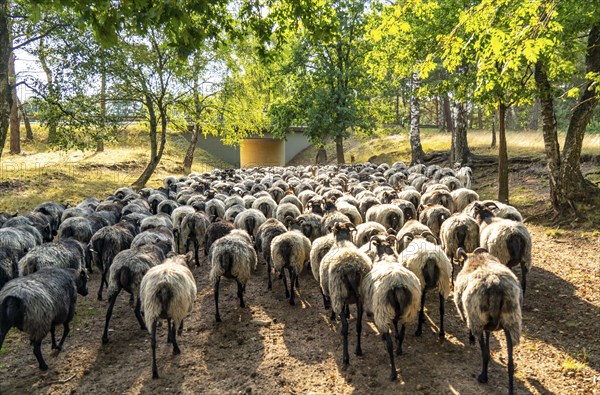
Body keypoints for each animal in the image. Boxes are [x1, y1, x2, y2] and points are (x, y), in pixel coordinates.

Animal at [360, 235, 422, 380]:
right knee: (403, 330)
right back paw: (399, 350)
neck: (386, 257)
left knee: (389, 345)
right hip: (409, 310)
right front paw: (397, 334)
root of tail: (398, 284)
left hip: (383, 310)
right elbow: (396, 324)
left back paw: (393, 373)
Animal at [454, 249, 520, 394]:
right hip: (511, 321)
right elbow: (489, 336)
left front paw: (471, 338)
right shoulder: (488, 326)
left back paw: (483, 377)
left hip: (478, 320)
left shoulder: (472, 316)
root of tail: (495, 285)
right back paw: (511, 390)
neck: (475, 260)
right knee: (511, 364)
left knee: (484, 354)